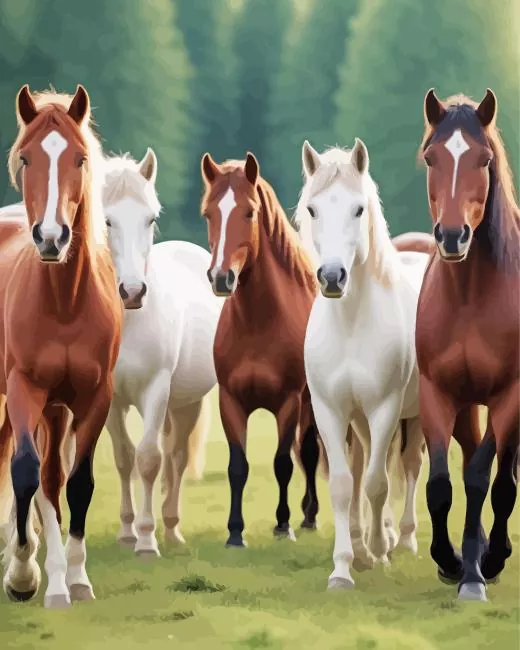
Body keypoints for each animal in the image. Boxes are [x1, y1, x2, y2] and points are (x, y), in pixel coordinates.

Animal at [101, 150, 222, 556]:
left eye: (150, 218)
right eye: (107, 220)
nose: (132, 291)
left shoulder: (156, 389)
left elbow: (150, 459)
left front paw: (146, 539)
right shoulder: (110, 399)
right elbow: (124, 458)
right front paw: (127, 531)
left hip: (187, 402)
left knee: (177, 457)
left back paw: (171, 528)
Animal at [200, 151, 326, 547]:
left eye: (249, 212)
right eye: (208, 213)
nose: (221, 277)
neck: (258, 324)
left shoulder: (288, 402)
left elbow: (283, 463)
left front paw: (283, 524)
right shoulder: (231, 402)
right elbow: (237, 466)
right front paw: (235, 532)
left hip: (311, 404)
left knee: (310, 452)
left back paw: (309, 516)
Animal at [295, 139, 429, 590]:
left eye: (358, 209)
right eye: (313, 209)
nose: (332, 277)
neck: (352, 324)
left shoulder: (385, 408)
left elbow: (375, 483)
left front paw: (376, 551)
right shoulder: (331, 410)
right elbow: (343, 484)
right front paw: (343, 567)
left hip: (414, 414)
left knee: (408, 467)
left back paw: (399, 540)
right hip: (361, 420)